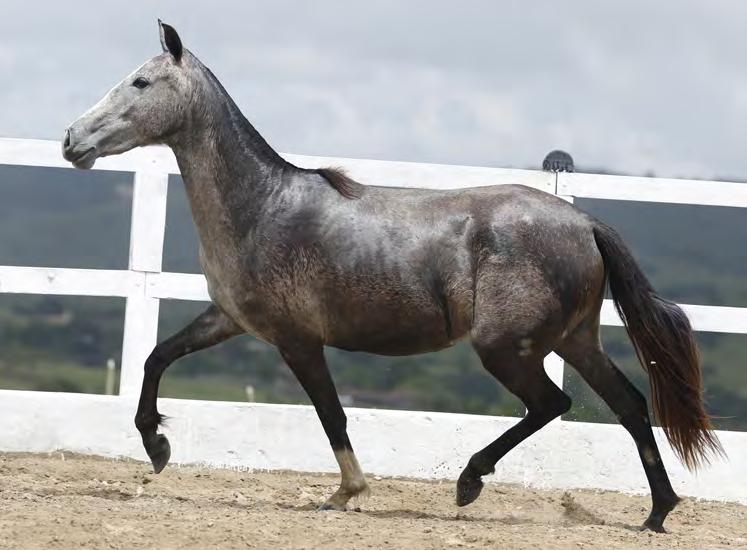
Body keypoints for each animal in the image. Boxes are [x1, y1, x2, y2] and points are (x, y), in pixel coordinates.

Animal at [64, 22, 724, 536]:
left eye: (140, 83)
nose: (72, 140)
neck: (263, 207)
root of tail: (583, 221)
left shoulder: (297, 340)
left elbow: (332, 414)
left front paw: (346, 492)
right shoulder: (230, 319)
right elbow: (156, 357)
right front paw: (156, 448)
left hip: (506, 347)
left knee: (552, 403)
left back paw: (469, 481)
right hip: (574, 339)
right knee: (630, 404)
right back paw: (657, 513)